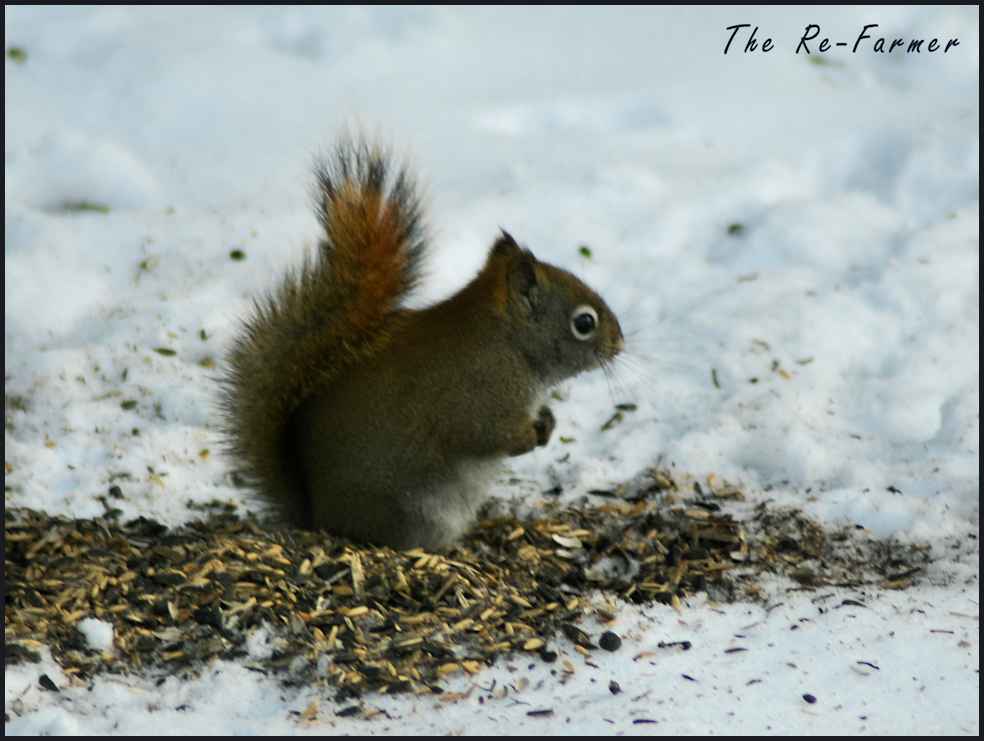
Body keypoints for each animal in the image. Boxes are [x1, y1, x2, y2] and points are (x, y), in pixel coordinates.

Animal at [220, 137, 624, 550]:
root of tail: (317, 517)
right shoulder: (475, 393)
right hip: (413, 513)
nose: (619, 343)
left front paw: (548, 422)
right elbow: (482, 431)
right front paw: (528, 436)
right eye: (584, 323)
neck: (509, 345)